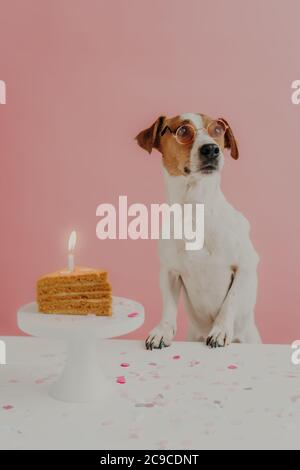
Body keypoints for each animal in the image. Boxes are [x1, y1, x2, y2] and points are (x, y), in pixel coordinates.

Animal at [136, 113, 260, 348]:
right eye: (183, 131)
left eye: (218, 130)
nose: (211, 149)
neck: (195, 208)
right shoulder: (169, 272)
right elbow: (169, 307)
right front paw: (162, 331)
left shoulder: (246, 266)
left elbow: (230, 301)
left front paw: (220, 330)